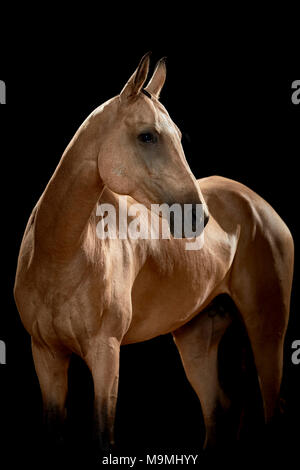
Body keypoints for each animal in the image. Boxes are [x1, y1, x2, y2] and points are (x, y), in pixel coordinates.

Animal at [13, 53, 292, 454]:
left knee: (270, 406)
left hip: (267, 331)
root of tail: (258, 205)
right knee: (218, 410)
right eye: (147, 135)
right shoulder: (46, 355)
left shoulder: (105, 353)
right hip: (197, 339)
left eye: (177, 136)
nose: (199, 216)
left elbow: (103, 433)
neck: (59, 256)